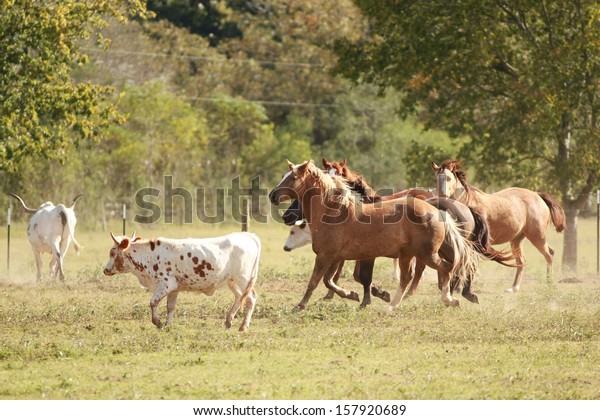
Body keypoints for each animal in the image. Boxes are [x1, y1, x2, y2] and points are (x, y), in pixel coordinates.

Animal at [102, 231, 260, 330]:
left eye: (112, 252)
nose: (105, 270)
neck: (149, 255)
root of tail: (248, 236)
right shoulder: (174, 289)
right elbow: (170, 307)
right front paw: (168, 325)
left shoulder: (166, 284)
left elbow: (153, 302)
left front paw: (158, 322)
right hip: (231, 281)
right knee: (239, 297)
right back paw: (228, 321)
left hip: (244, 279)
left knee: (251, 298)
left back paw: (243, 326)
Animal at [270, 159, 480, 310]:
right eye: (283, 175)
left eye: (292, 177)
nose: (272, 195)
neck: (333, 211)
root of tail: (436, 210)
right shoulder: (336, 257)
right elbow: (330, 281)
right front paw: (353, 295)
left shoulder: (325, 256)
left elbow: (315, 281)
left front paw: (300, 306)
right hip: (409, 254)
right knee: (412, 276)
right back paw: (394, 305)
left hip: (426, 254)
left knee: (444, 268)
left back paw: (448, 299)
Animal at [324, 158, 516, 302]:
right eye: (325, 174)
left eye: (339, 175)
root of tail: (465, 207)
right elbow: (349, 274)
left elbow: (360, 276)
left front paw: (376, 294)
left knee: (457, 264)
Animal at [432, 158, 568, 292]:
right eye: (436, 179)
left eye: (449, 178)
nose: (442, 196)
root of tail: (537, 195)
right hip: (517, 240)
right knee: (521, 261)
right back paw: (514, 288)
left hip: (537, 236)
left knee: (549, 254)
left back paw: (549, 285)